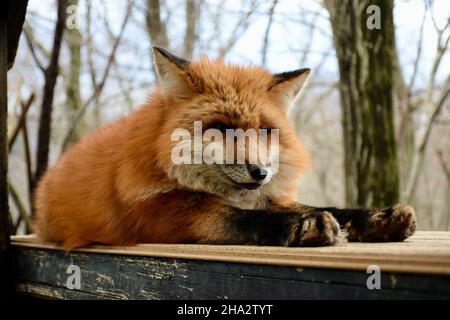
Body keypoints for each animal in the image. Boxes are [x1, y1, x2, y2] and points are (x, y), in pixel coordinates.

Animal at [33, 47, 416, 250]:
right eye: (219, 129)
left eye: (265, 132)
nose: (261, 172)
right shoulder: (166, 215)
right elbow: (244, 220)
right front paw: (305, 225)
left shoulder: (268, 196)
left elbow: (334, 208)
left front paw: (378, 217)